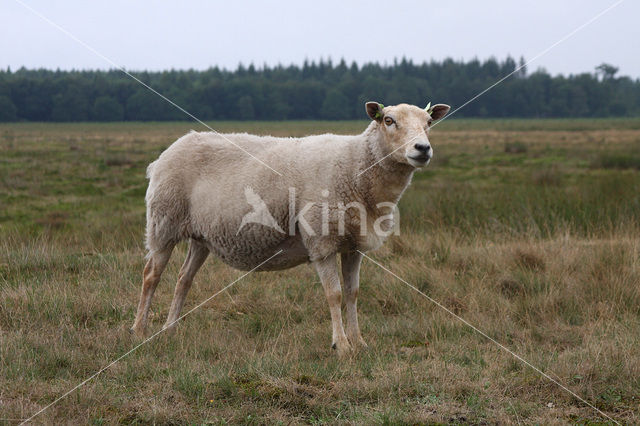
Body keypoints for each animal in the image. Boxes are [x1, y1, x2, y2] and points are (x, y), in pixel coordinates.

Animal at [130, 100, 450, 356]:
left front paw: (359, 342)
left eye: (429, 122)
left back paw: (170, 330)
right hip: (164, 221)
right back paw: (140, 330)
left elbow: (352, 293)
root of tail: (163, 156)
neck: (356, 166)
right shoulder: (322, 241)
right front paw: (341, 345)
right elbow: (334, 295)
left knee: (184, 279)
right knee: (151, 276)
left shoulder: (353, 245)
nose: (423, 149)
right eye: (388, 120)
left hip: (201, 235)